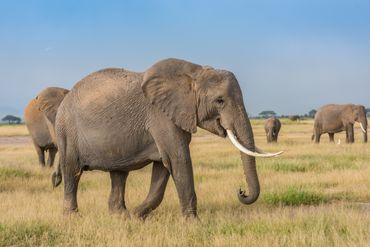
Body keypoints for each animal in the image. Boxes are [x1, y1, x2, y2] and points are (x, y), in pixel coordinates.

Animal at [42, 58, 282, 218]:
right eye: (220, 101)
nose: (241, 191)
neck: (194, 73)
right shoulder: (161, 117)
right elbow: (178, 160)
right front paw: (193, 223)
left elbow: (163, 167)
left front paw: (136, 216)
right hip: (66, 130)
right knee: (72, 171)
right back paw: (72, 217)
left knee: (118, 174)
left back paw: (119, 215)